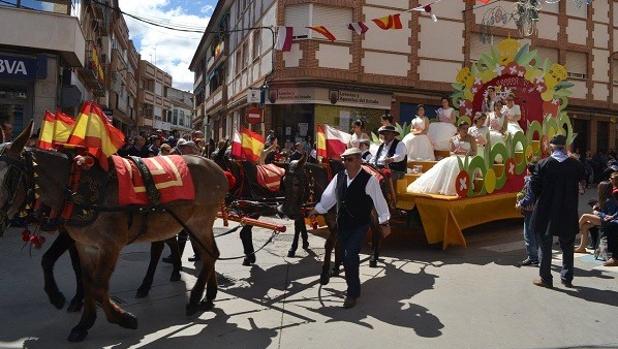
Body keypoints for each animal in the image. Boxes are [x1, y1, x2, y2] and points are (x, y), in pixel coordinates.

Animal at [0, 123, 227, 342]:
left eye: (8, 177)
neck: (76, 186)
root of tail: (214, 166)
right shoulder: (85, 245)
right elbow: (86, 280)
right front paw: (84, 322)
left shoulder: (110, 245)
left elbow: (98, 286)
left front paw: (123, 318)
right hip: (188, 224)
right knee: (209, 254)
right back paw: (207, 295)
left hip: (199, 222)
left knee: (210, 255)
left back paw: (195, 297)